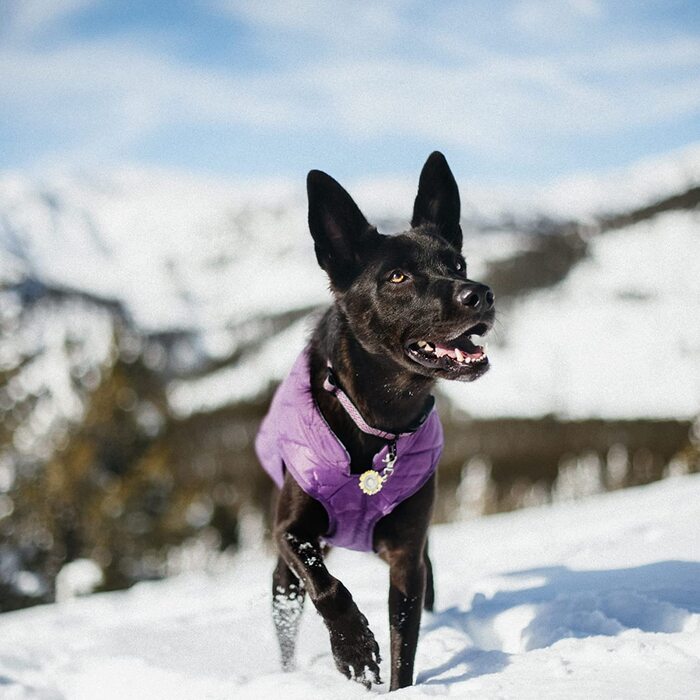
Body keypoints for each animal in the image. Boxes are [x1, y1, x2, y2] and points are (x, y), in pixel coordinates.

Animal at [264, 149, 498, 688]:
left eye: (458, 264)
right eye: (397, 277)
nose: (480, 293)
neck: (378, 418)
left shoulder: (408, 557)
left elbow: (404, 642)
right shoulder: (289, 532)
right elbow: (327, 586)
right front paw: (353, 649)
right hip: (283, 580)